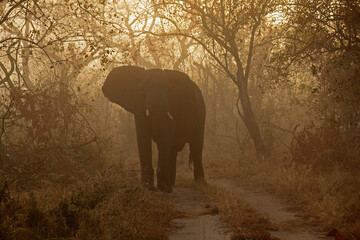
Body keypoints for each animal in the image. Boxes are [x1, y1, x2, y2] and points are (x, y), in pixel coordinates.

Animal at [102, 65, 207, 193]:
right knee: (173, 150)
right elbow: (143, 139)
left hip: (201, 114)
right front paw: (148, 187)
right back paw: (171, 184)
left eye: (168, 91)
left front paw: (162, 189)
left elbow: (164, 137)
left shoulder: (172, 107)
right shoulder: (139, 108)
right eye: (142, 90)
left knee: (196, 146)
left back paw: (200, 185)